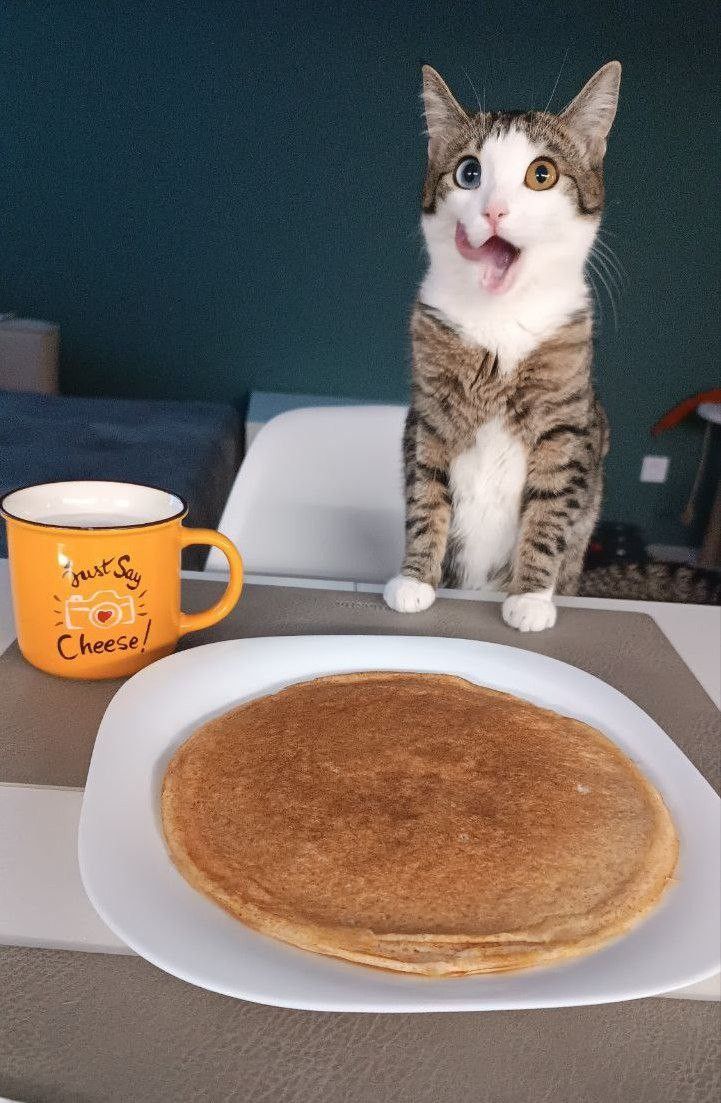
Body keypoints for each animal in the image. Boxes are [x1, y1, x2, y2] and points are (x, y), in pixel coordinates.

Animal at [383, 61, 623, 630]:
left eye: (542, 174)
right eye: (469, 173)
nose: (493, 211)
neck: (499, 321)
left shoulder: (566, 423)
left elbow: (550, 508)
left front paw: (530, 597)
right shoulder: (429, 413)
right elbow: (426, 497)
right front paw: (415, 580)